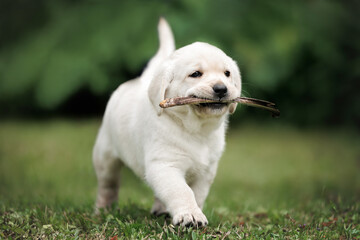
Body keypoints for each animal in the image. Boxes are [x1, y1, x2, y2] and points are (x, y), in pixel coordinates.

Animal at [94, 17, 242, 226]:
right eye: (196, 74)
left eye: (227, 74)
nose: (221, 88)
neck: (195, 129)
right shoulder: (164, 165)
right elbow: (181, 191)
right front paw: (191, 215)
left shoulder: (206, 171)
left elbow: (197, 194)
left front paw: (194, 210)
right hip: (105, 155)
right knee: (108, 185)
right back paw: (103, 209)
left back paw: (161, 210)